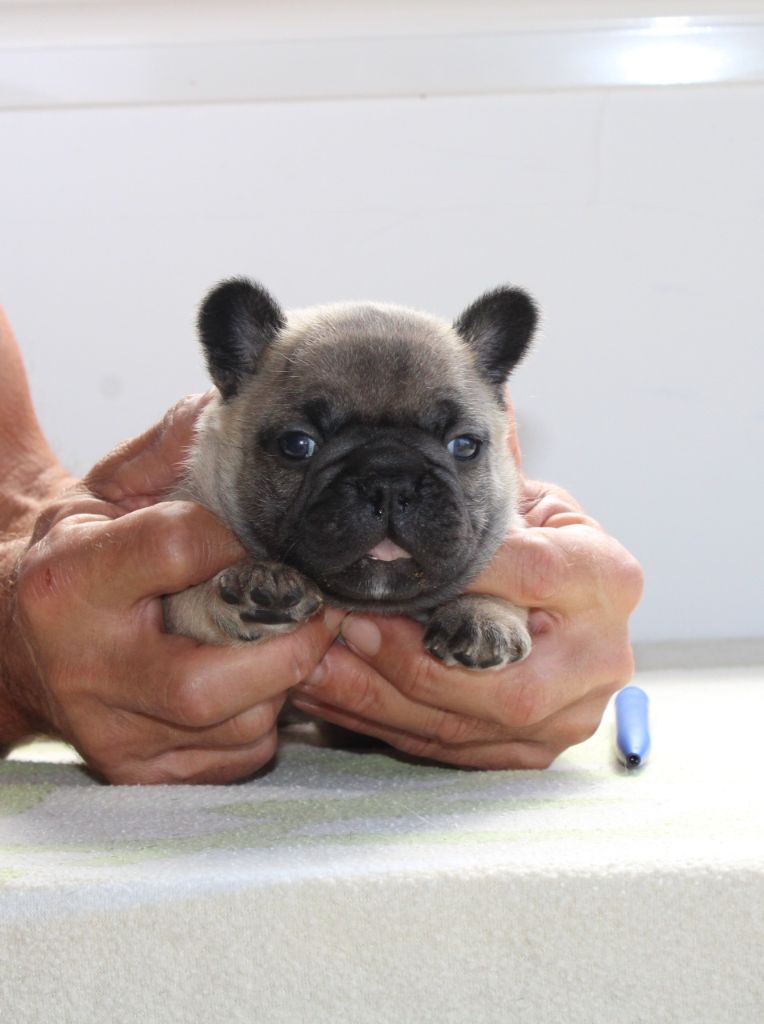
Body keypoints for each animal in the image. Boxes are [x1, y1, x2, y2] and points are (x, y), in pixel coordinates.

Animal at [162, 276, 536, 667]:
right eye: (297, 444)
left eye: (464, 446)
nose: (390, 480)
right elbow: (185, 599)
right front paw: (252, 579)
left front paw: (483, 614)